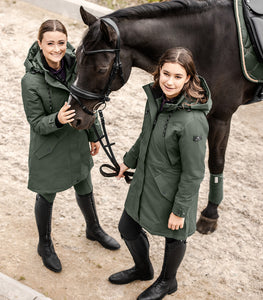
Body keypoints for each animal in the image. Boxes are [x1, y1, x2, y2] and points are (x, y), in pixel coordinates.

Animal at [68, 0, 260, 233]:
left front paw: (210, 216)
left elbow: (216, 162)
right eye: (77, 57)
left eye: (102, 68)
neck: (210, 42)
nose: (75, 117)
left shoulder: (221, 117)